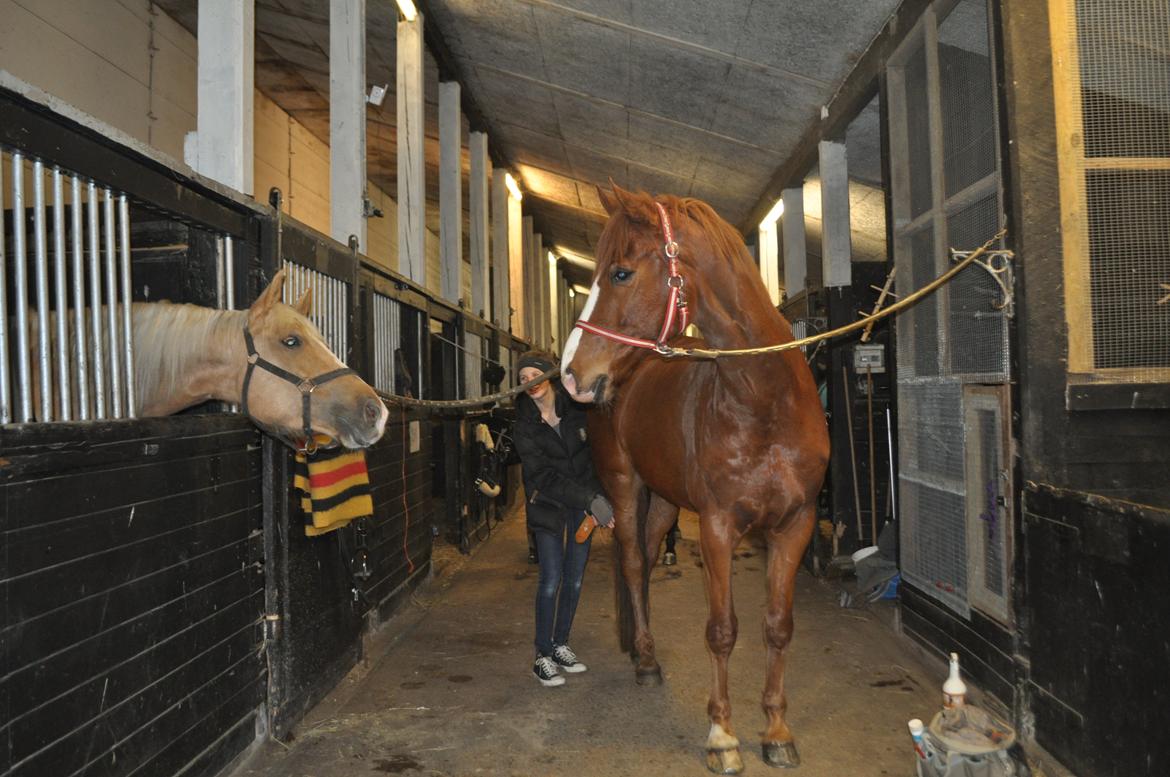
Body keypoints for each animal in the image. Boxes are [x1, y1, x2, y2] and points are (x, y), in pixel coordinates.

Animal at [559, 187, 828, 772]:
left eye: (620, 273)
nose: (571, 374)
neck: (765, 401)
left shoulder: (795, 525)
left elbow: (778, 625)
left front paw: (776, 730)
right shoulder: (718, 527)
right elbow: (723, 631)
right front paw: (722, 735)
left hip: (664, 500)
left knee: (648, 550)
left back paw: (645, 648)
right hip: (625, 485)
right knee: (633, 562)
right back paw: (645, 662)